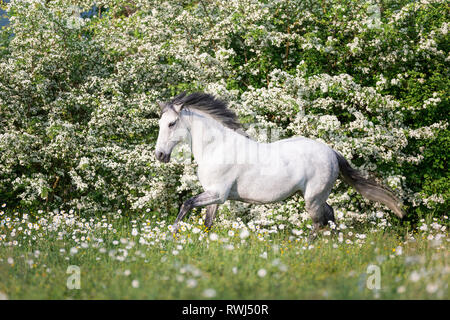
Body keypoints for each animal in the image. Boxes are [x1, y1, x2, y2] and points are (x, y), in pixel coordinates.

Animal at [154, 92, 404, 235]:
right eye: (160, 123)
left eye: (172, 123)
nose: (159, 155)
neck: (217, 147)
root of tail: (332, 152)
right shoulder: (214, 197)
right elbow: (208, 223)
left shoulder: (217, 193)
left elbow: (186, 204)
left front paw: (171, 235)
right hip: (317, 196)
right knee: (331, 216)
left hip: (312, 198)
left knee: (319, 222)